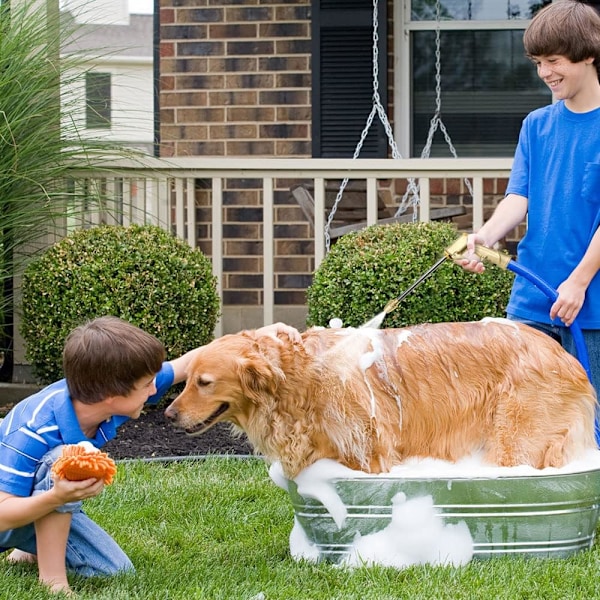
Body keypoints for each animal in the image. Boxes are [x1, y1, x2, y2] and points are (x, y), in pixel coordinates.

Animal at [164, 318, 600, 478]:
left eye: (204, 382)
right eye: (187, 381)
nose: (167, 415)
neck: (300, 378)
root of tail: (565, 356)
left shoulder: (370, 455)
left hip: (517, 440)